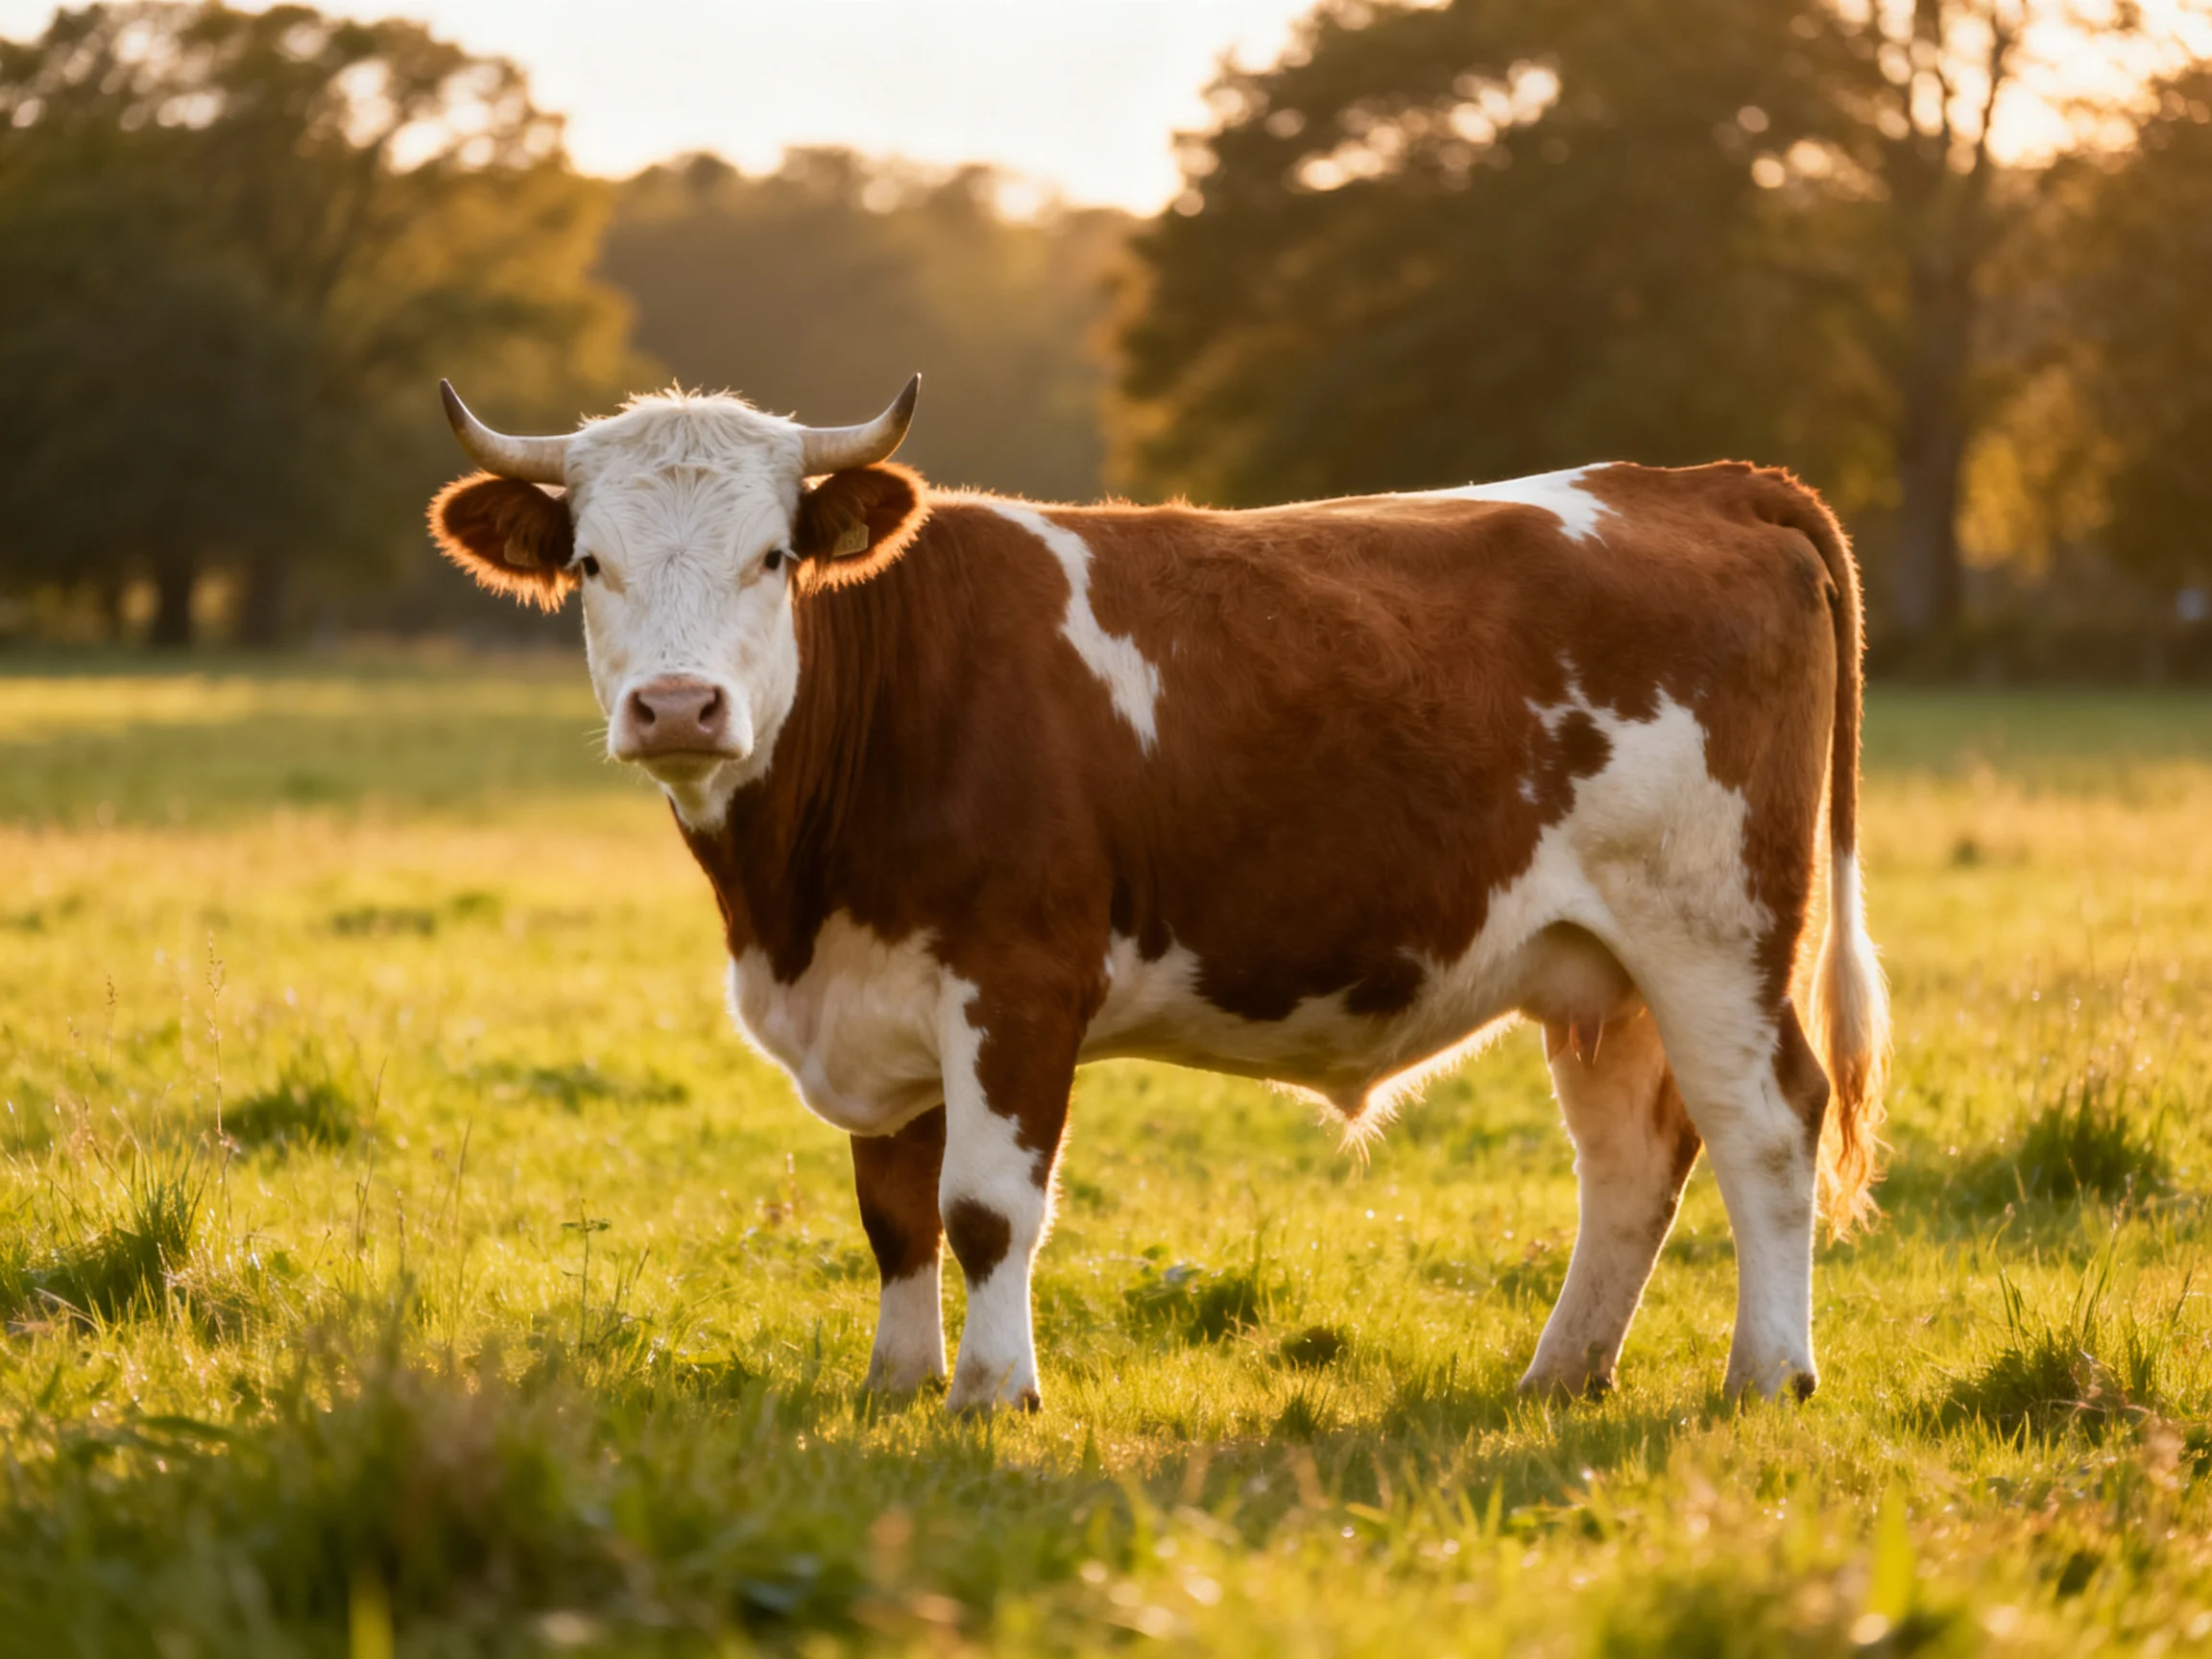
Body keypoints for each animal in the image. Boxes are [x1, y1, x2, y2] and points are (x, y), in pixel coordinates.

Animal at [429, 376, 1888, 1412]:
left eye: (773, 558)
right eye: (592, 564)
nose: (678, 706)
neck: (794, 904)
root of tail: (1701, 481)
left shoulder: (1017, 979)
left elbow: (984, 1206)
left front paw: (991, 1394)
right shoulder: (880, 994)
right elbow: (893, 1211)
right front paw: (895, 1385)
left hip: (1718, 931)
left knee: (1767, 1124)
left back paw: (1769, 1374)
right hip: (1601, 967)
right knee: (1634, 1157)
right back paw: (1561, 1373)